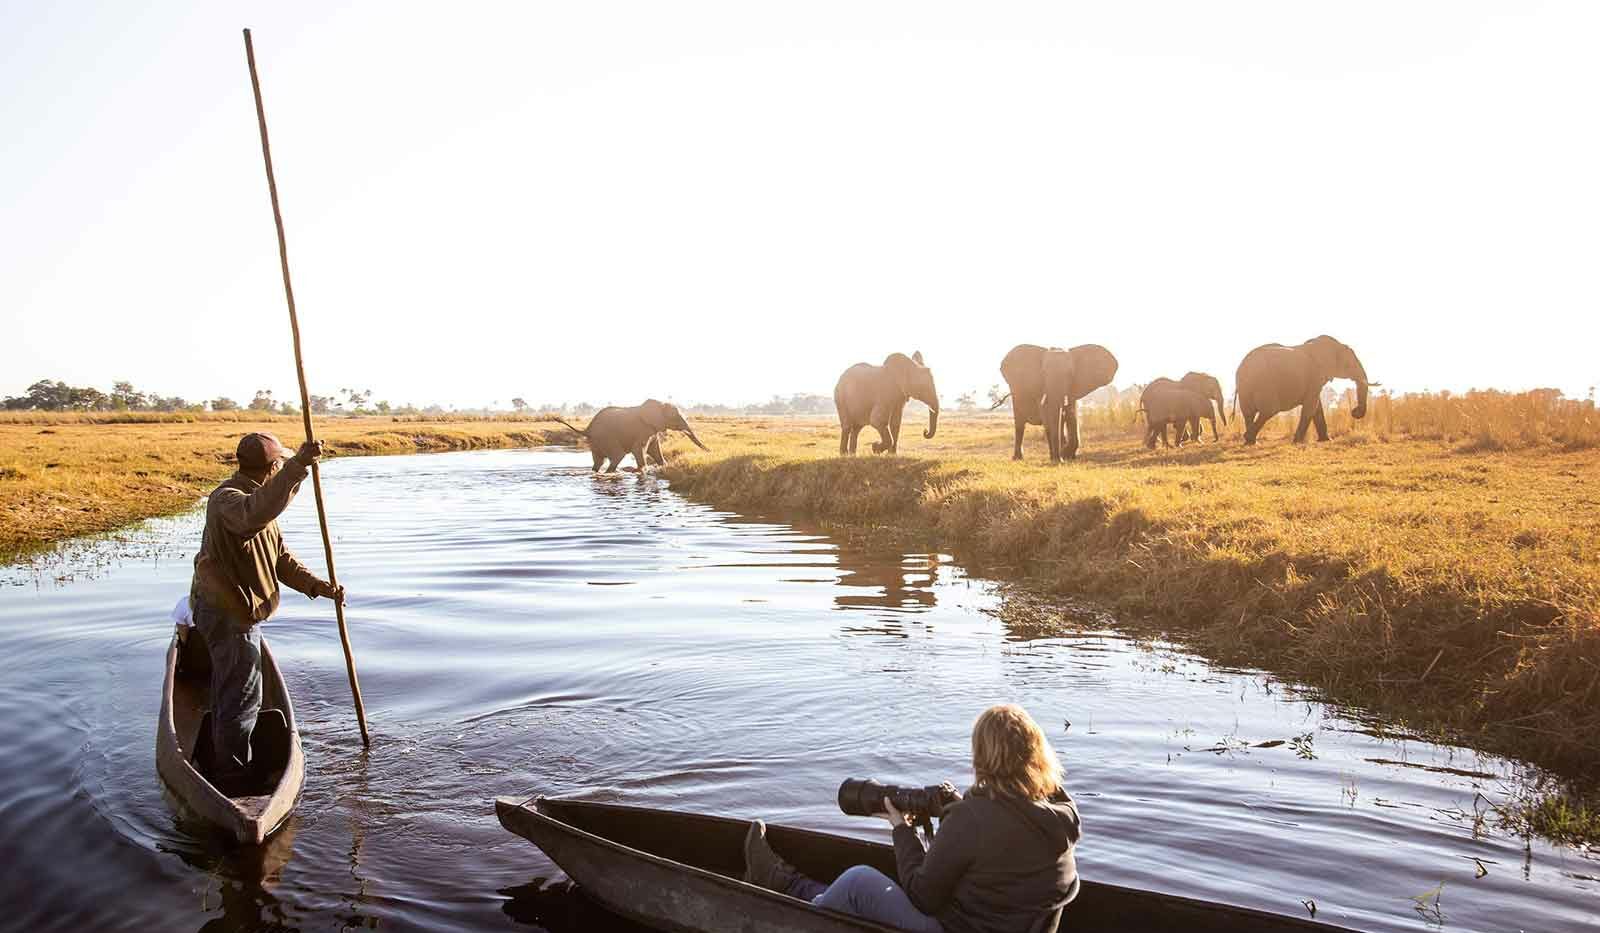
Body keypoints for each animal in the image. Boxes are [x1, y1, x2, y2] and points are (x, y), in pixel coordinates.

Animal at [553, 400, 710, 473]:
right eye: (675, 417)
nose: (710, 451)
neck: (659, 404)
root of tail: (587, 428)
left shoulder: (652, 430)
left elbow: (655, 449)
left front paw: (664, 466)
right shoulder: (642, 429)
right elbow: (639, 449)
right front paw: (643, 470)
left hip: (596, 442)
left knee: (598, 462)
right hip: (607, 438)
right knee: (617, 456)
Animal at [992, 342, 1120, 464]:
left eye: (1070, 374)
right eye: (1043, 373)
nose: (1060, 460)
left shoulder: (1073, 387)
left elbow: (1070, 414)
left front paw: (1066, 455)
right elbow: (1049, 417)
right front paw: (1061, 456)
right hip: (1016, 393)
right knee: (1020, 424)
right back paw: (1018, 458)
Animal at [1235, 336, 1376, 444]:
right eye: (1349, 364)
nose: (1354, 412)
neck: (1335, 345)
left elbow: (1317, 408)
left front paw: (1326, 440)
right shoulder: (1315, 376)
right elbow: (1310, 407)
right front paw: (1297, 442)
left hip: (1246, 385)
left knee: (1249, 412)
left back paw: (1250, 441)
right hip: (1264, 381)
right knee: (1270, 409)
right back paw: (1249, 438)